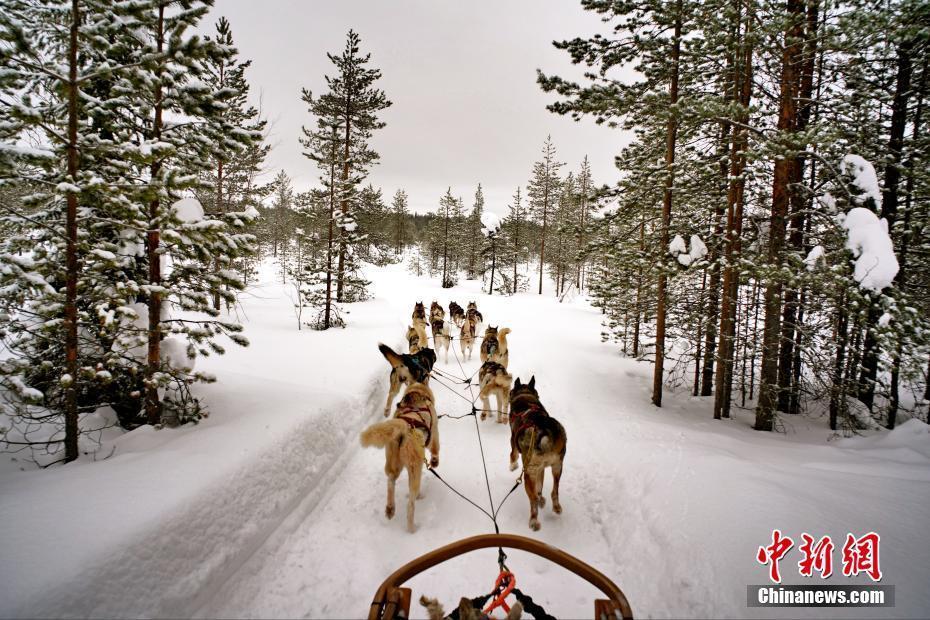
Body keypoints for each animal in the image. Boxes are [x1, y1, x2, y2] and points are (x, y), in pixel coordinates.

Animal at [358, 382, 438, 532]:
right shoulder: (435, 434)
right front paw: (435, 461)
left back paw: (390, 508)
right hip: (414, 469)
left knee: (390, 481)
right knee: (410, 503)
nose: (398, 404)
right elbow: (436, 449)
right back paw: (412, 527)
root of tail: (405, 427)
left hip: (393, 463)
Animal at [508, 376, 564, 532]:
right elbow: (540, 485)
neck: (526, 397)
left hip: (528, 473)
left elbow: (513, 455)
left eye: (511, 390)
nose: (509, 394)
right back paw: (554, 505)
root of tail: (543, 430)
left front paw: (512, 465)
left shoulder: (513, 441)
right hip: (557, 466)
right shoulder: (541, 469)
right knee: (554, 491)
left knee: (532, 499)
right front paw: (542, 498)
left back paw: (533, 521)